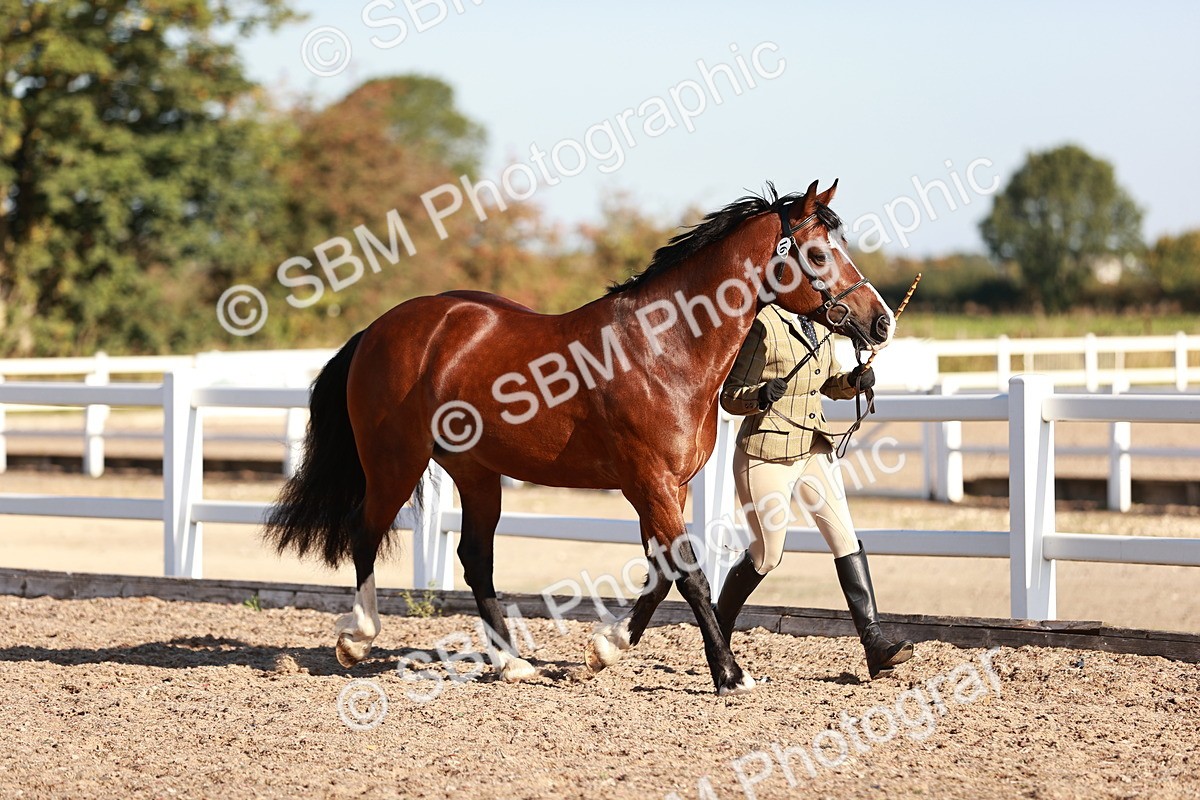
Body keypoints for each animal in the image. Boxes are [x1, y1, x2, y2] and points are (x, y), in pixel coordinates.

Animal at [264, 179, 894, 695]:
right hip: (395, 461)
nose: (881, 321)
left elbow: (662, 573)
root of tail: (381, 328)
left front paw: (606, 650)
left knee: (474, 558)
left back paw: (512, 663)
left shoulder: (669, 486)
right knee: (365, 532)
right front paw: (729, 674)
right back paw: (356, 639)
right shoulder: (649, 482)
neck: (664, 348)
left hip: (475, 471)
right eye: (820, 252)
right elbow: (689, 572)